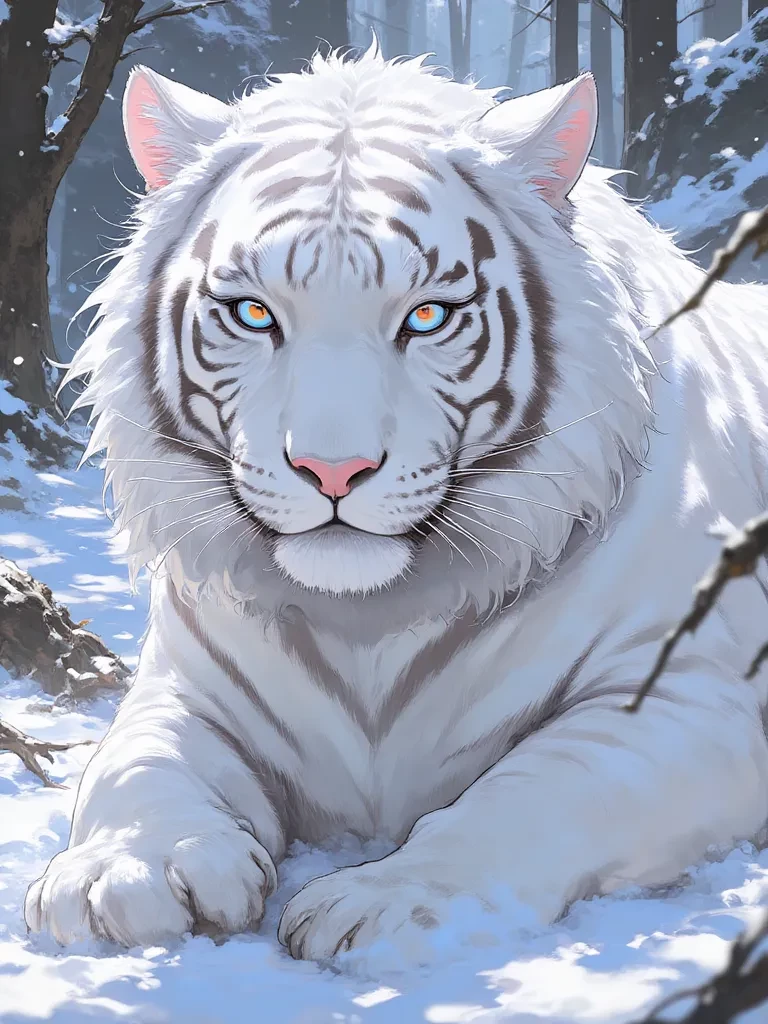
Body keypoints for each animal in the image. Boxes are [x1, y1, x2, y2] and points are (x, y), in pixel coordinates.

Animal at [25, 43, 768, 966]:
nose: (332, 469)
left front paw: (382, 901)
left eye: (428, 316)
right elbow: (136, 761)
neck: (368, 623)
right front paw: (128, 874)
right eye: (253, 313)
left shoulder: (687, 702)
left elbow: (539, 789)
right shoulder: (185, 685)